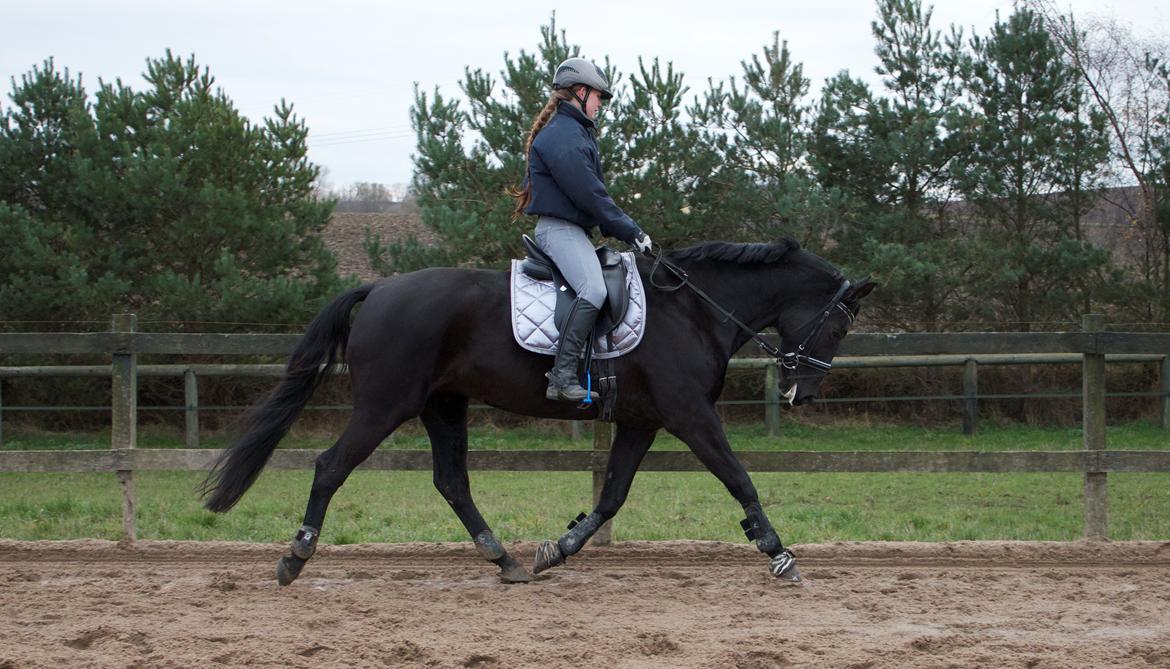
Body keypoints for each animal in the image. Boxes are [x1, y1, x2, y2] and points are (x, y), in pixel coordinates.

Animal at [201, 237, 875, 582]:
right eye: (840, 327)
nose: (803, 393)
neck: (695, 309)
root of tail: (380, 288)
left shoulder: (641, 421)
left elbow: (611, 497)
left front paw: (560, 547)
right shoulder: (689, 416)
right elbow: (739, 478)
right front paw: (778, 551)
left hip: (442, 407)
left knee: (452, 481)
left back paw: (504, 560)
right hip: (384, 405)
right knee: (330, 467)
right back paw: (295, 558)